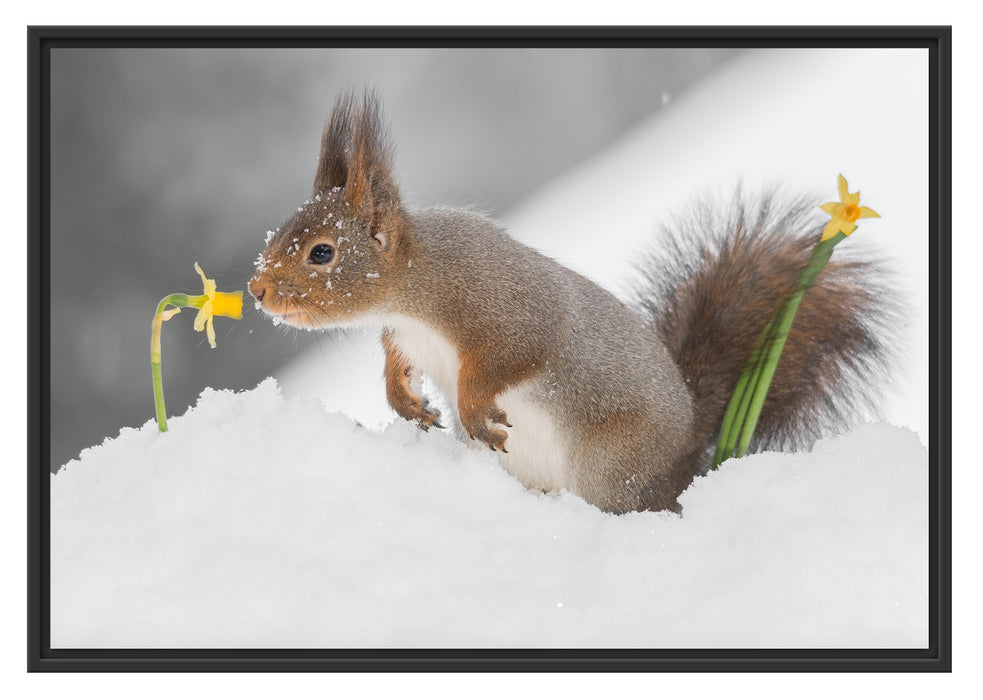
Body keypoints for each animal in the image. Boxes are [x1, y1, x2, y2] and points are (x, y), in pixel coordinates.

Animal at [248, 90, 900, 516]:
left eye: (323, 254)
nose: (257, 291)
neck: (415, 287)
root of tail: (689, 455)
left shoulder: (505, 310)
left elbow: (510, 358)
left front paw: (473, 408)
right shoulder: (405, 337)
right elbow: (396, 365)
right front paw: (407, 403)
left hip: (612, 467)